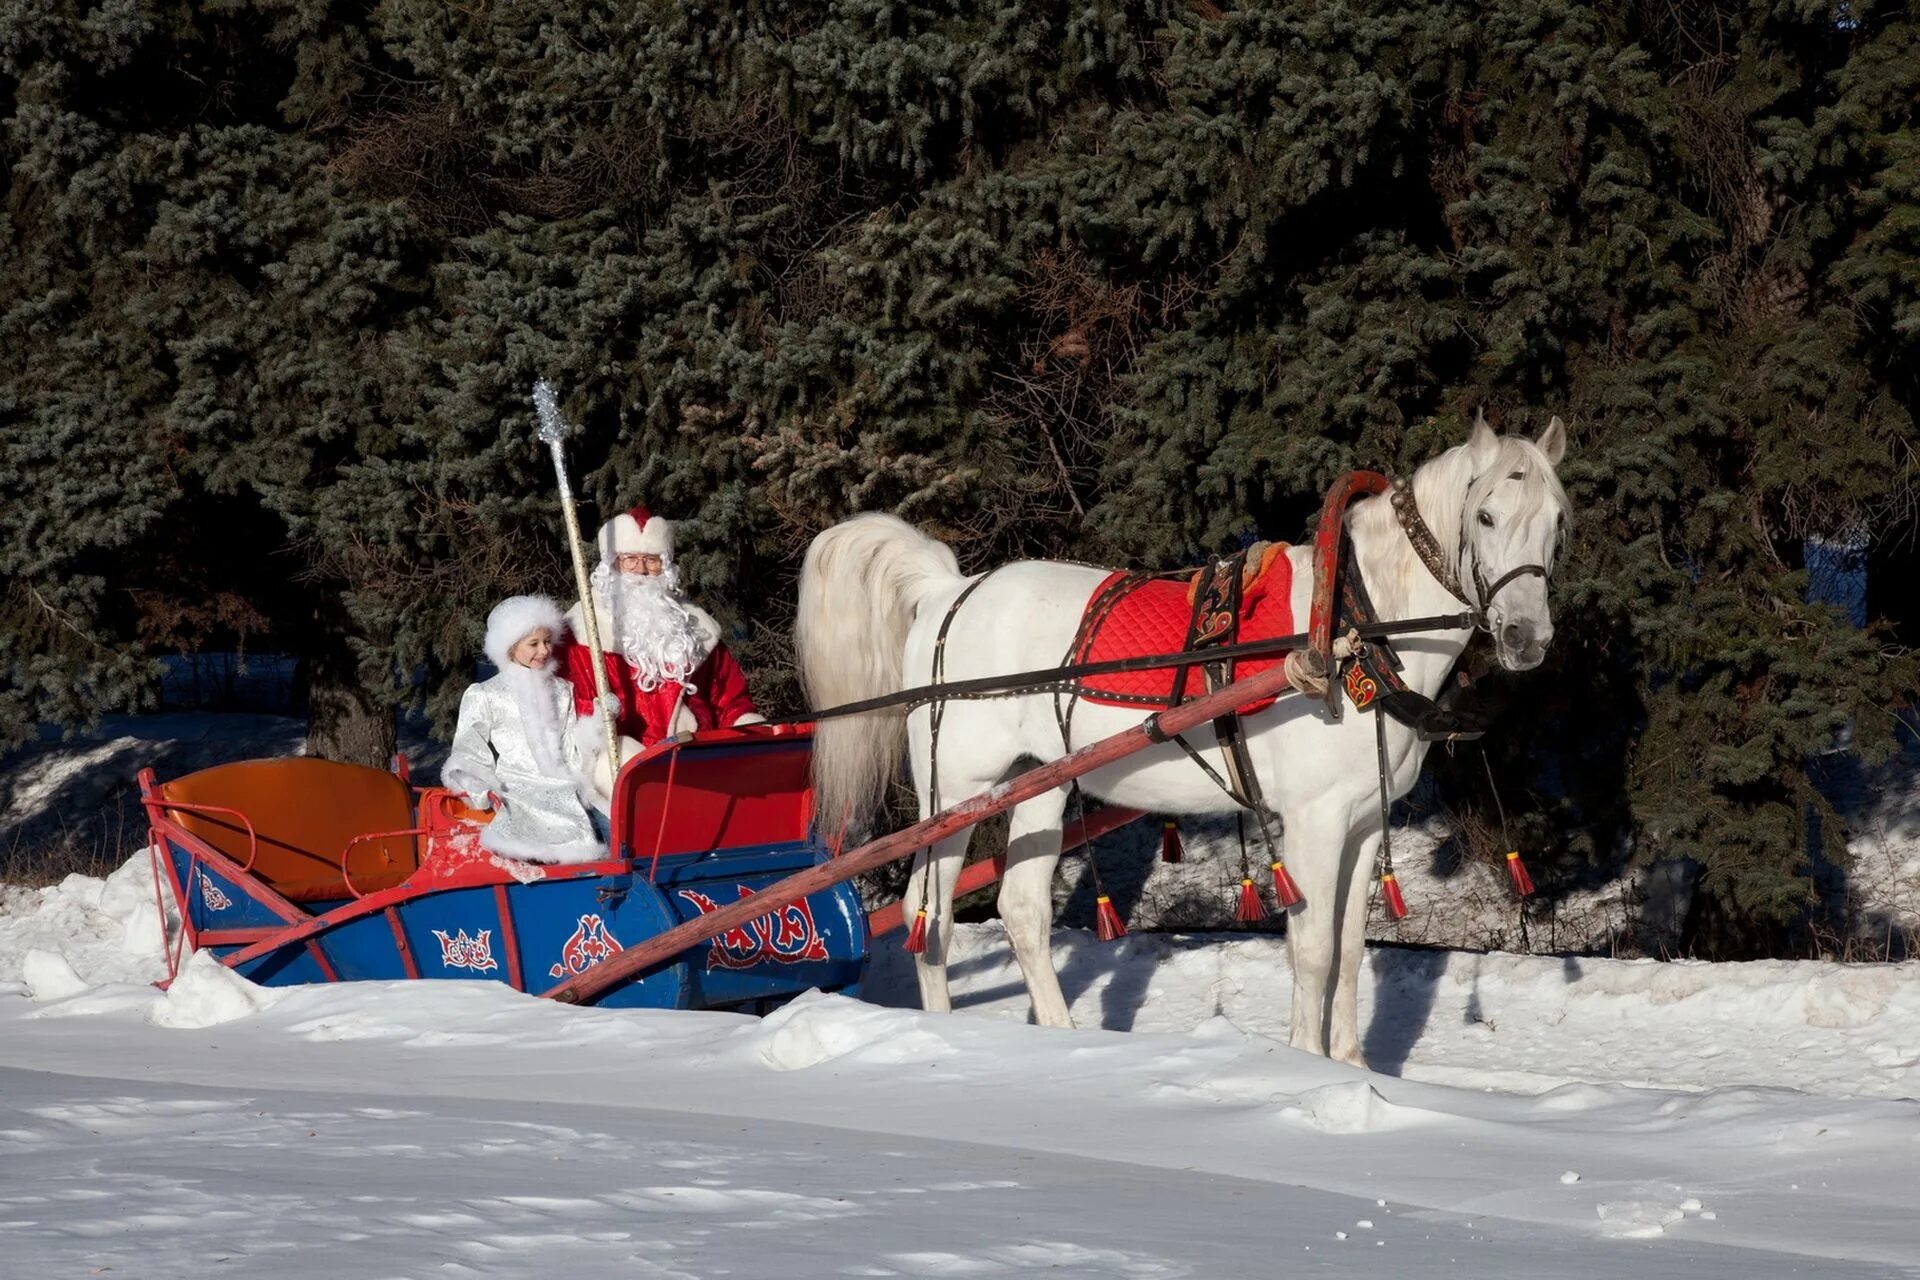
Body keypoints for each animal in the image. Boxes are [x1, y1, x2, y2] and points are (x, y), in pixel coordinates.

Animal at [798, 416, 1574, 1066]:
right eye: (1485, 515)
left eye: (1557, 523)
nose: (1527, 638)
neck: (1354, 624)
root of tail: (948, 591)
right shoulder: (1315, 823)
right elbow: (1314, 951)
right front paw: (1308, 1065)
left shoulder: (1360, 825)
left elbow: (1351, 951)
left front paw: (1351, 1067)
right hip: (957, 790)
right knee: (923, 912)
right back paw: (944, 1037)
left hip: (1038, 783)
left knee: (1019, 910)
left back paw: (1063, 1043)